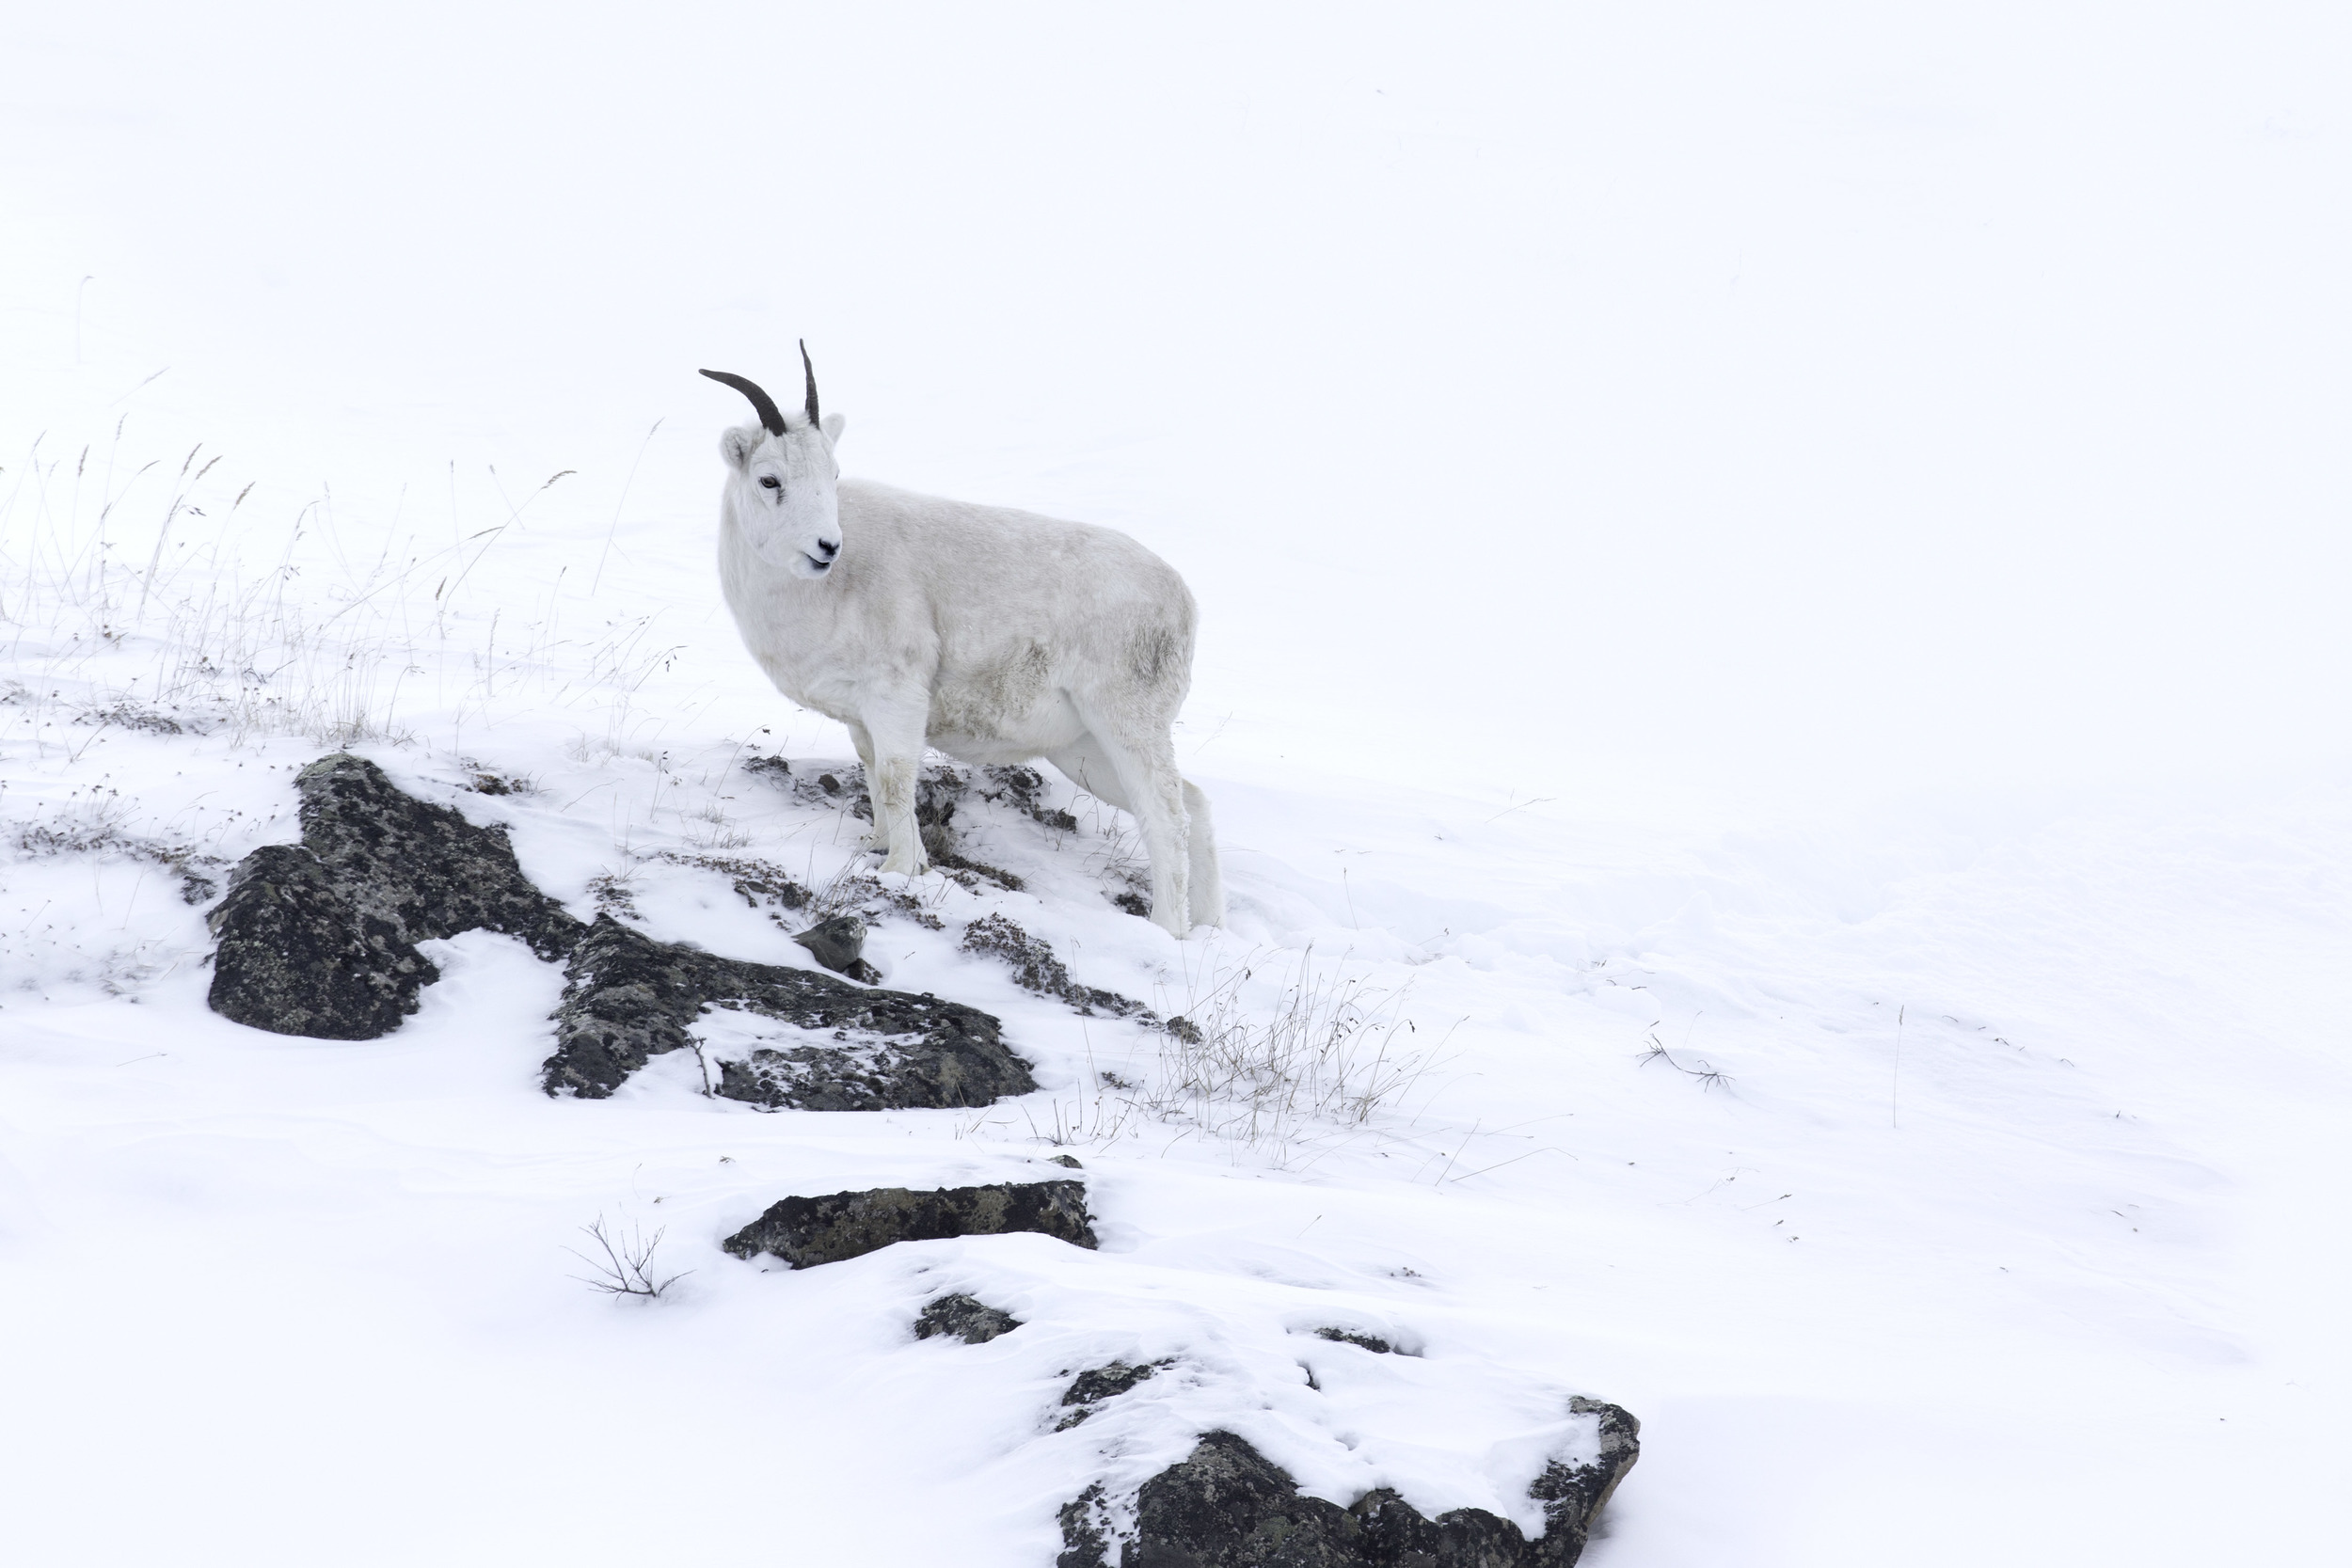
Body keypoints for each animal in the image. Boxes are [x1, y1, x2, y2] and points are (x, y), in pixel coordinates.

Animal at [696, 352, 1223, 944]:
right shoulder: (863, 719)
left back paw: (1167, 930)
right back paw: (1210, 928)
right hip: (1086, 751)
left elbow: (897, 780)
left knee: (1167, 821)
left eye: (832, 474)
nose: (826, 547)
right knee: (1194, 806)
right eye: (770, 480)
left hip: (1128, 728)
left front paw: (902, 868)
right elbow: (875, 778)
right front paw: (880, 847)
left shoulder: (898, 698)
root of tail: (1182, 599)